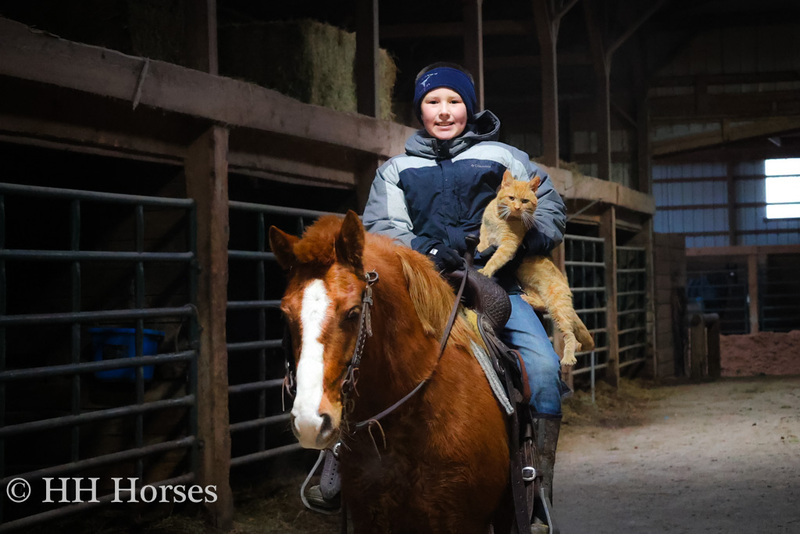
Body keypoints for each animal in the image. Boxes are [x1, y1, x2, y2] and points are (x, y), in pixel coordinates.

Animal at [476, 172, 592, 368]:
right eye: (511, 198)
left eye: (524, 201)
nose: (516, 208)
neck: (500, 218)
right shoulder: (484, 229)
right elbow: (482, 240)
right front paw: (478, 250)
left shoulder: (509, 245)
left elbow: (495, 258)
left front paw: (485, 270)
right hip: (531, 288)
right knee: (543, 305)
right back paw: (528, 300)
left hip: (558, 307)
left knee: (570, 335)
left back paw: (568, 358)